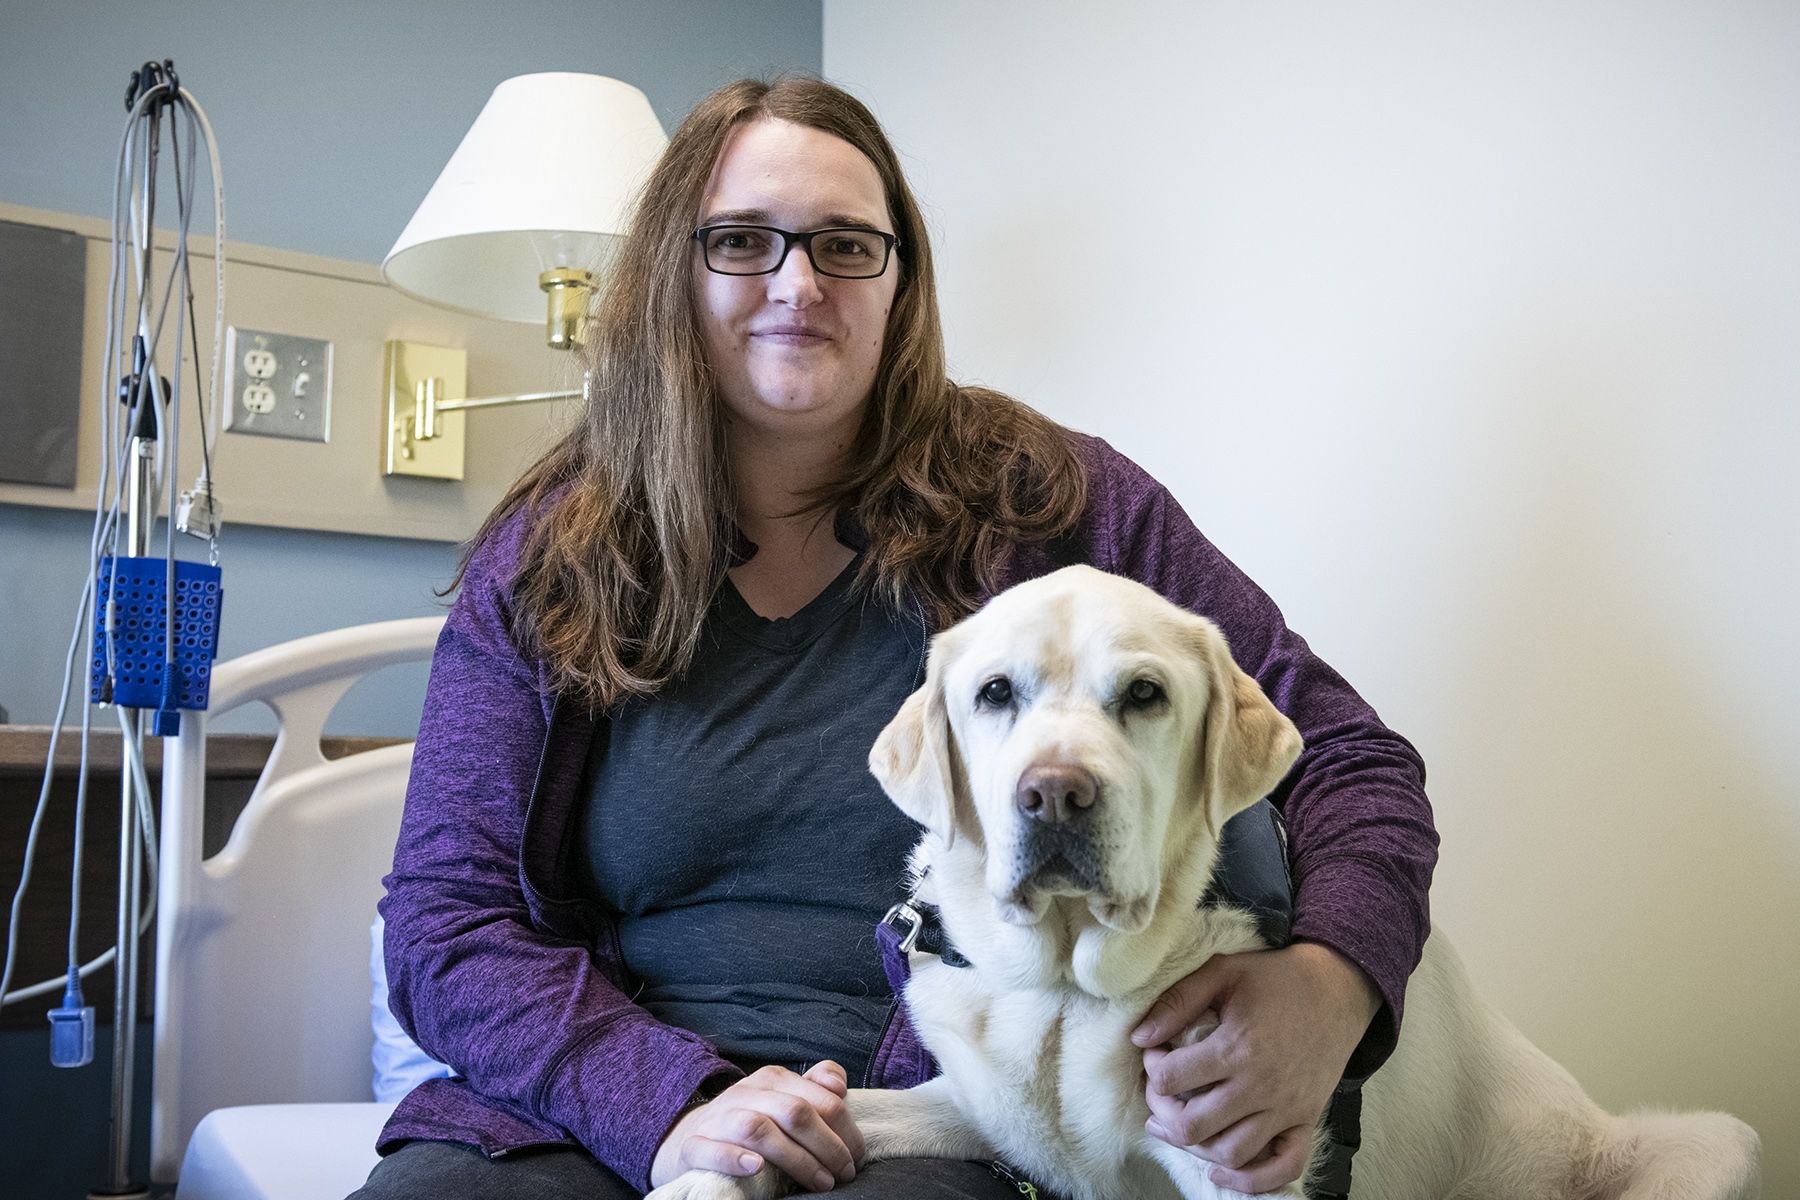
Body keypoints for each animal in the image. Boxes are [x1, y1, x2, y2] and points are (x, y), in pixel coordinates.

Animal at [648, 572, 1756, 1200]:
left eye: (1144, 695)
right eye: (995, 693)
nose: (1054, 794)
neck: (1067, 988)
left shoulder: (1247, 1165)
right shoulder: (971, 1108)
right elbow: (809, 1127)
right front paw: (706, 1170)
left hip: (1713, 1145)